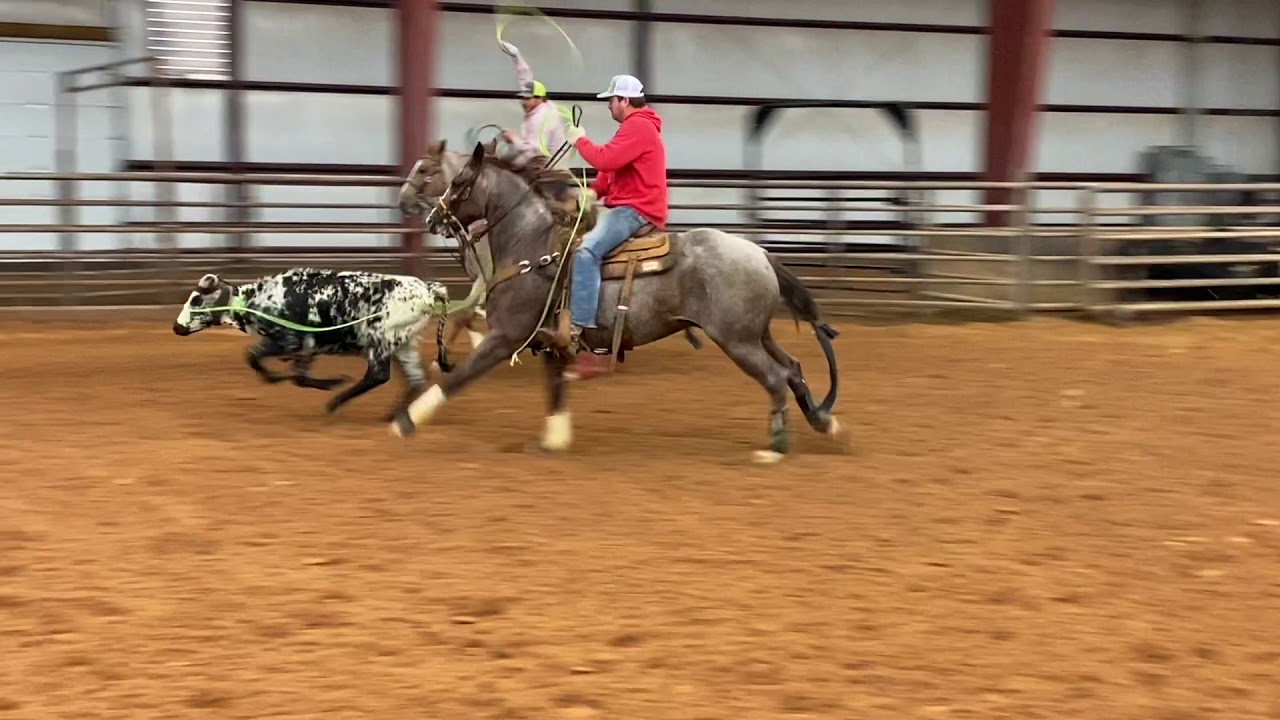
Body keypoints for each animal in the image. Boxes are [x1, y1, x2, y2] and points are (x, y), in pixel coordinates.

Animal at [388, 139, 848, 463]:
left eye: (439, 176)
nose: (427, 215)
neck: (531, 243)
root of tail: (761, 253)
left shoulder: (506, 336)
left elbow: (460, 377)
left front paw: (407, 420)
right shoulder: (550, 342)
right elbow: (555, 391)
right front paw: (554, 441)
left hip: (738, 340)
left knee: (775, 377)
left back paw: (775, 448)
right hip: (757, 334)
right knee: (793, 368)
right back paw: (824, 422)